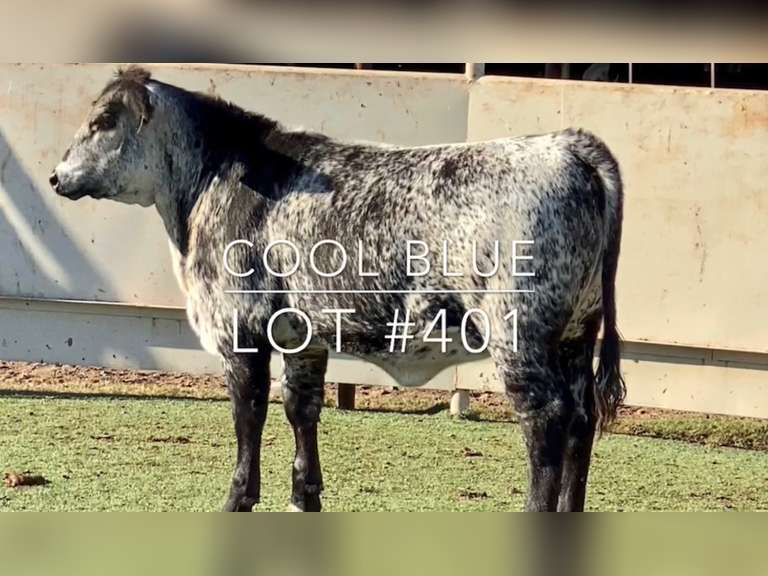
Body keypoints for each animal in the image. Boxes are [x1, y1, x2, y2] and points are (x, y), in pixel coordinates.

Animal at [50, 66, 625, 512]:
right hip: (577, 332)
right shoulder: (302, 335)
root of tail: (568, 145)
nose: (56, 176)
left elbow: (248, 411)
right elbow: (300, 407)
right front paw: (303, 496)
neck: (215, 179)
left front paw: (238, 498)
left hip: (517, 333)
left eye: (102, 122)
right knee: (581, 420)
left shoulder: (241, 327)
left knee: (546, 420)